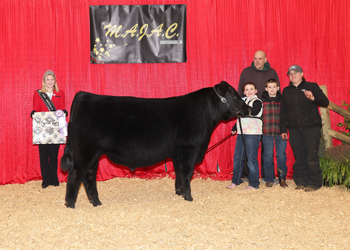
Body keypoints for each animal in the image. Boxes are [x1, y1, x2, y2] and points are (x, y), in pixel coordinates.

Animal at [60, 81, 252, 208]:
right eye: (233, 95)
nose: (248, 109)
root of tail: (85, 95)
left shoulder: (178, 154)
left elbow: (179, 174)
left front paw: (179, 192)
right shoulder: (189, 151)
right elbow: (187, 174)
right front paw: (189, 197)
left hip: (93, 154)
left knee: (89, 176)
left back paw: (96, 202)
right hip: (85, 151)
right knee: (75, 175)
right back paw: (70, 204)